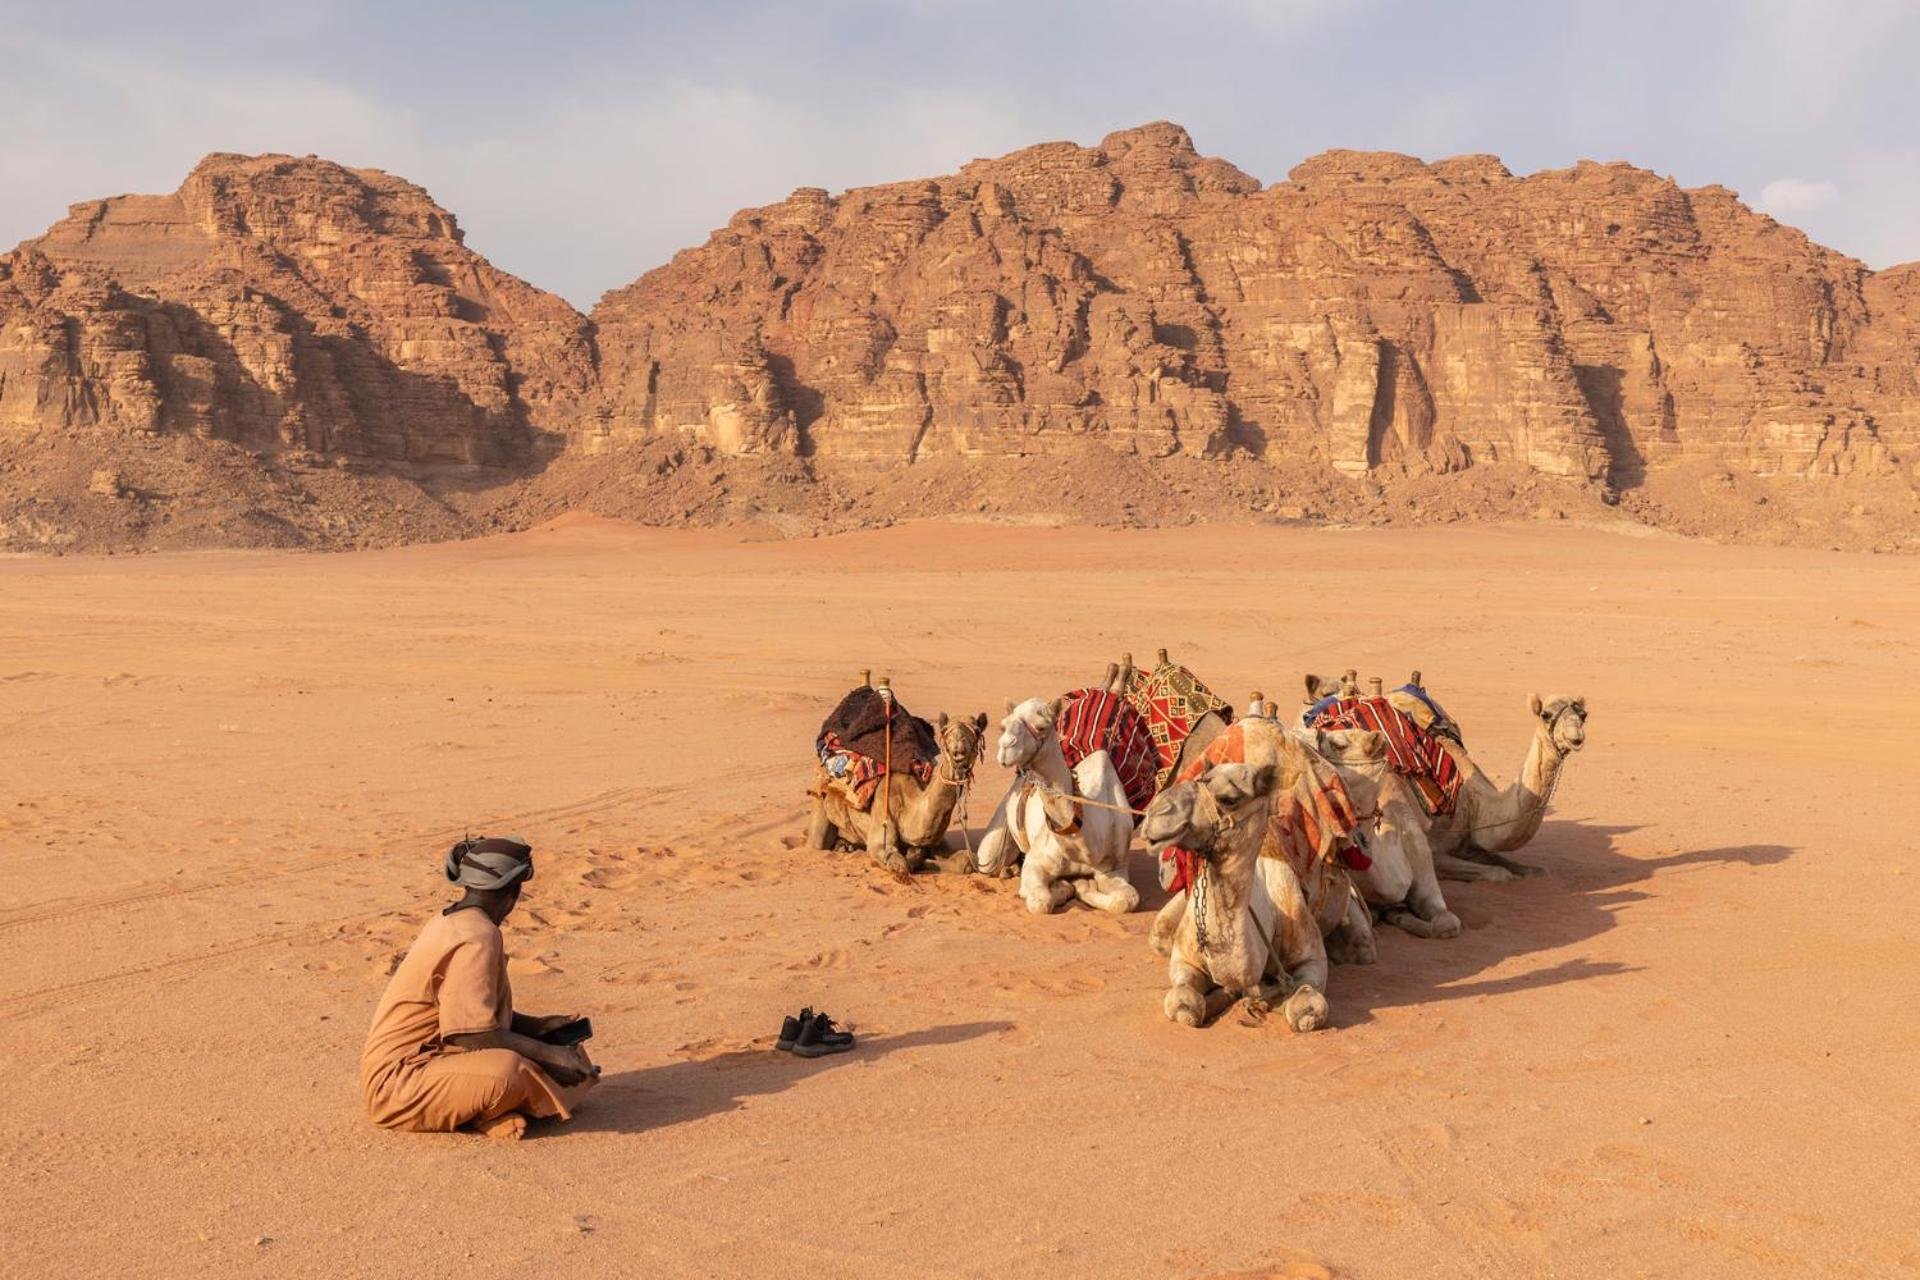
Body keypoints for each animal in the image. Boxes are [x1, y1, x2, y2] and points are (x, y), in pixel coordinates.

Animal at [810, 717, 990, 875]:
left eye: (976, 731)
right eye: (945, 732)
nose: (959, 747)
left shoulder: (937, 841)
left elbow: (966, 861)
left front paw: (917, 853)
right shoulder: (883, 815)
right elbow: (901, 863)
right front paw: (913, 856)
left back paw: (844, 845)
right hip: (819, 800)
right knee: (818, 841)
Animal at [1136, 759, 1336, 1028]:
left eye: (1229, 799)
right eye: (1201, 779)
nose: (1156, 811)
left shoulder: (1311, 954)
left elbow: (1306, 1007)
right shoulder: (1183, 959)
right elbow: (1184, 1004)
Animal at [1305, 679, 1589, 882]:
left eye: (1583, 715)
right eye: (1546, 714)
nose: (1576, 738)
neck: (1470, 801)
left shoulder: (1467, 842)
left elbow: (1525, 868)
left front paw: (1531, 870)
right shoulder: (1436, 848)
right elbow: (1498, 874)